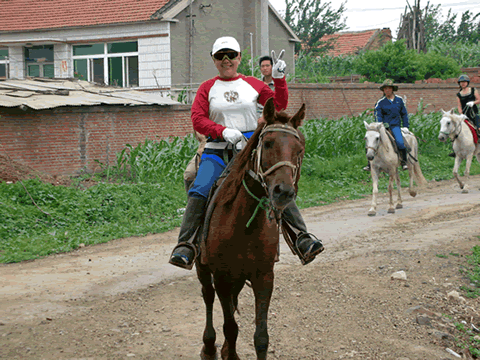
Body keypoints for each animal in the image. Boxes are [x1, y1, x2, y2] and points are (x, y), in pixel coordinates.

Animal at [194, 97, 304, 358]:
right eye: (268, 142)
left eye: (299, 149)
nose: (284, 192)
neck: (243, 224)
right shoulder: (222, 277)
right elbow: (230, 327)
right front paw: (227, 351)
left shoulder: (264, 277)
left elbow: (261, 337)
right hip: (203, 268)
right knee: (208, 296)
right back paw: (209, 346)